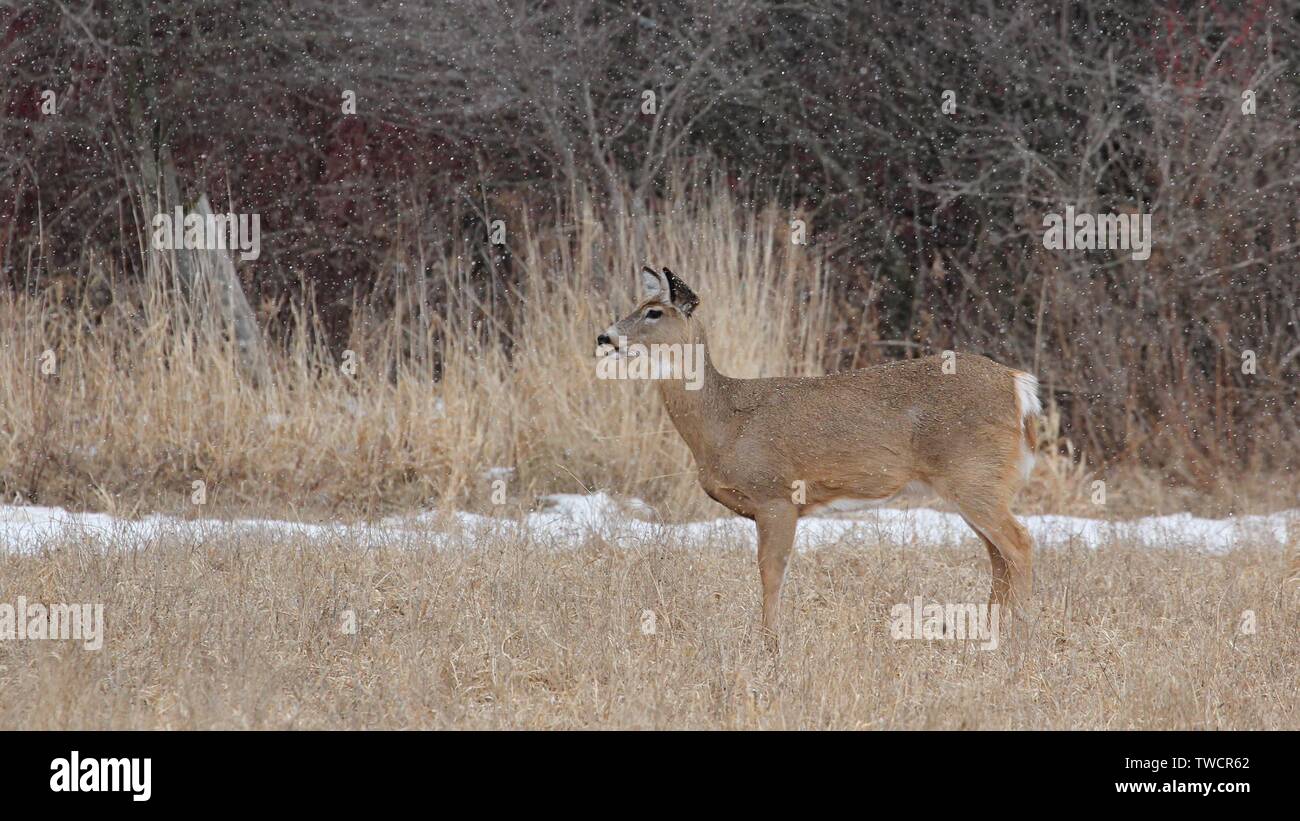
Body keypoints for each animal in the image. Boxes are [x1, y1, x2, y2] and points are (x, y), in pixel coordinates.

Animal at [600, 267, 1045, 646]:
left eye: (654, 311)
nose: (605, 338)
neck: (724, 423)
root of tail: (1019, 387)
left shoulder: (776, 494)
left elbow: (771, 573)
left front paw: (770, 645)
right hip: (976, 483)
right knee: (998, 557)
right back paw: (986, 637)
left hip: (974, 476)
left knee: (1019, 543)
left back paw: (1021, 638)